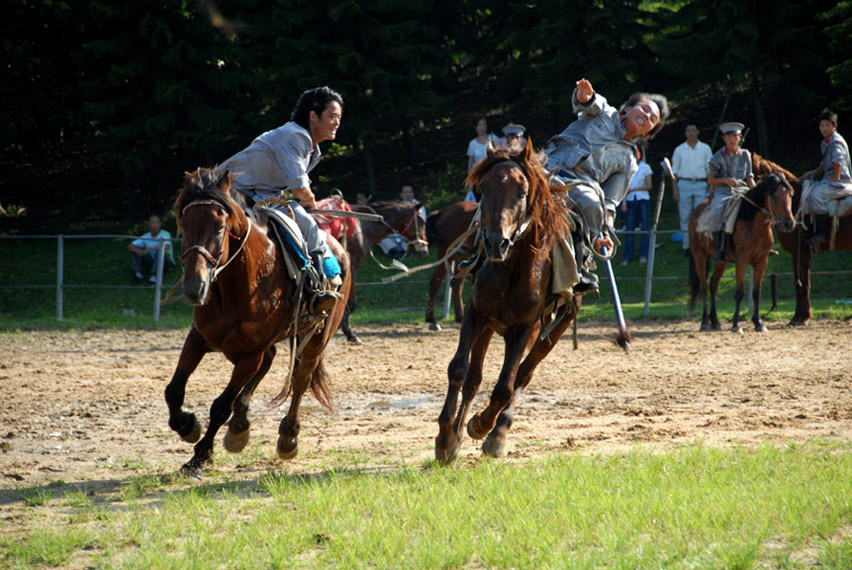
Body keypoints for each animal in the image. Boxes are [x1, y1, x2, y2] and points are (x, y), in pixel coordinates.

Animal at [165, 168, 352, 474]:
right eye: (185, 224)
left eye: (219, 227)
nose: (194, 287)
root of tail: (341, 250)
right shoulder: (199, 338)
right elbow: (174, 391)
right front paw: (187, 426)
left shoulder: (250, 354)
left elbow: (220, 406)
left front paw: (200, 455)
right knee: (270, 362)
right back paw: (240, 426)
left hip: (318, 336)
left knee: (301, 379)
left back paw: (287, 437)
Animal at [424, 202, 480, 330]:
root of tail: (443, 212)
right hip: (446, 254)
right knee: (436, 281)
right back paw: (432, 319)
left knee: (455, 284)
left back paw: (460, 317)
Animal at [432, 141, 580, 462]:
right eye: (483, 189)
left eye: (523, 192)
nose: (495, 242)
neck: (513, 269)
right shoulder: (476, 314)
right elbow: (459, 370)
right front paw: (446, 437)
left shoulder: (525, 328)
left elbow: (505, 388)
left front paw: (481, 425)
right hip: (489, 327)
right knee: (474, 379)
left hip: (553, 330)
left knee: (523, 376)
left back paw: (497, 433)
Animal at [688, 173, 796, 332]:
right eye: (775, 196)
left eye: (790, 195)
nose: (789, 223)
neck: (753, 225)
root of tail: (696, 211)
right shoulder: (742, 261)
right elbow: (739, 293)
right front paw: (736, 324)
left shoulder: (762, 262)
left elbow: (756, 293)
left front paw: (758, 323)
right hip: (699, 255)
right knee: (704, 287)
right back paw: (705, 322)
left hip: (721, 260)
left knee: (713, 284)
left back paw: (715, 321)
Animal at [752, 152, 852, 324]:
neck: (794, 202)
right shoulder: (798, 253)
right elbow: (799, 283)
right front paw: (799, 316)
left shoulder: (800, 251)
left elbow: (803, 284)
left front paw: (801, 317)